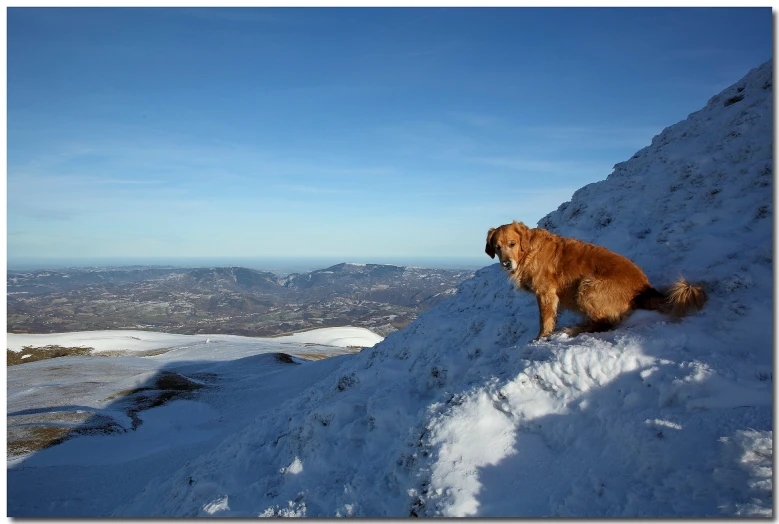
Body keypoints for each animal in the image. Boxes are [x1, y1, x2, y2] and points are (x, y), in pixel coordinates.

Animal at [484, 221, 708, 340]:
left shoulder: (545, 293)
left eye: (512, 244)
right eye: (497, 247)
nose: (506, 263)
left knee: (605, 323)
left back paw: (575, 329)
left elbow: (545, 320)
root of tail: (645, 287)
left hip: (587, 287)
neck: (529, 251)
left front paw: (540, 339)